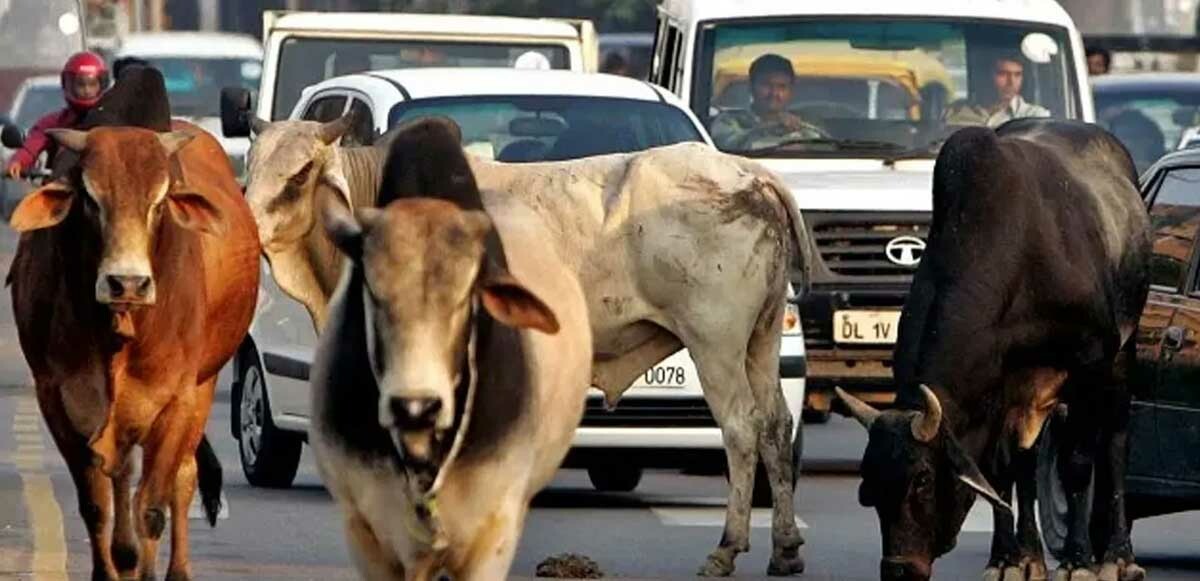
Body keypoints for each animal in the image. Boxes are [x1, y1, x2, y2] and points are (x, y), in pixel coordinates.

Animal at [8, 123, 259, 581]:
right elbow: (96, 506)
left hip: (203, 387)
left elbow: (153, 509)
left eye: (159, 201)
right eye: (90, 198)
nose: (127, 283)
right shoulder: (57, 400)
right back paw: (124, 555)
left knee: (184, 477)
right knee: (122, 475)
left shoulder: (177, 402)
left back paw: (176, 570)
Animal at [835, 119, 1152, 581]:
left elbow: (1077, 464)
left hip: (1121, 360)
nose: (899, 570)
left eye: (923, 479)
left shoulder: (1089, 364)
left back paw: (1118, 557)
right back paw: (1033, 553)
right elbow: (1001, 474)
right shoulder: (999, 389)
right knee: (1026, 462)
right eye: (870, 484)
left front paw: (1077, 561)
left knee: (1113, 445)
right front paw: (1008, 559)